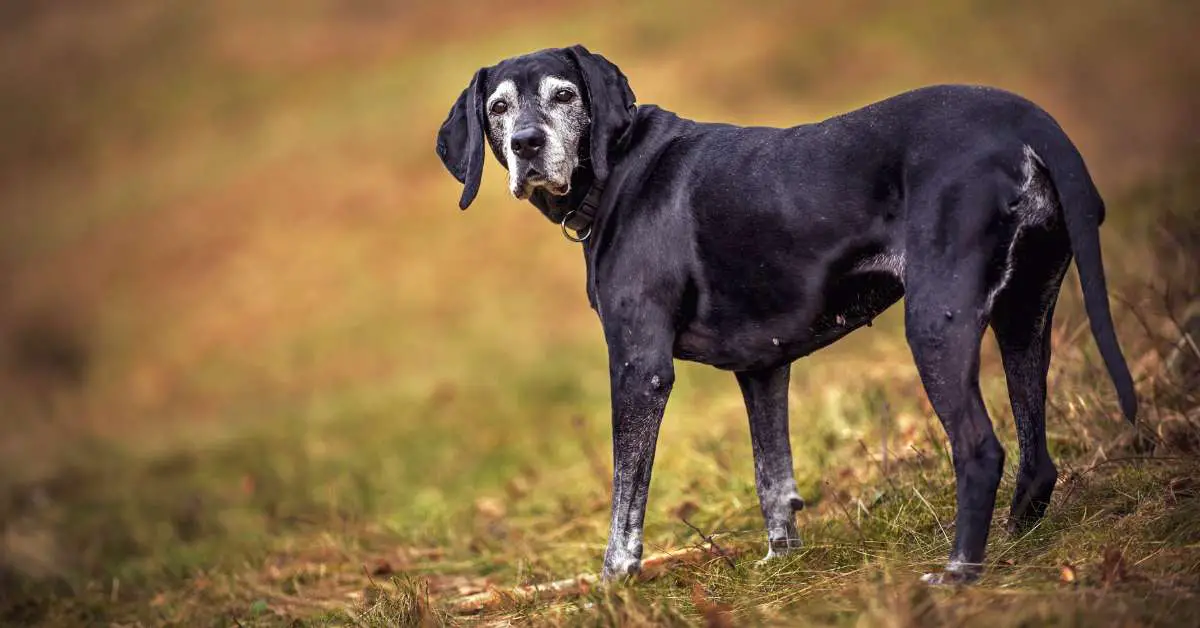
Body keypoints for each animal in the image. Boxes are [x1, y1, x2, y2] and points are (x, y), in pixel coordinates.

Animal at [439, 44, 1132, 585]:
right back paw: (1015, 544)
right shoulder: (762, 368)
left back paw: (958, 573)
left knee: (981, 449)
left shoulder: (640, 368)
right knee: (1036, 456)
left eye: (562, 95)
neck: (618, 168)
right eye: (497, 108)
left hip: (938, 321)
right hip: (1025, 316)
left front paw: (614, 582)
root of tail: (1026, 120)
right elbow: (772, 475)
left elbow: (625, 496)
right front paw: (782, 559)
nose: (527, 144)